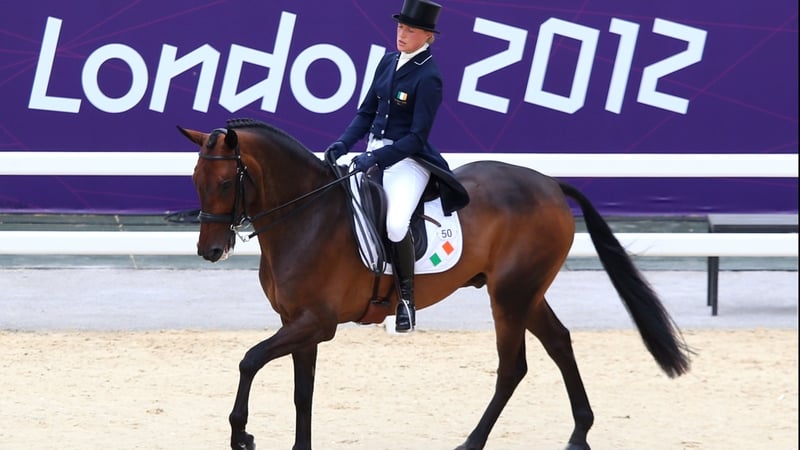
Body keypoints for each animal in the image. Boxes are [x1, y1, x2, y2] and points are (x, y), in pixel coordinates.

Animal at [178, 118, 690, 450]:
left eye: (225, 183)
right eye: (196, 178)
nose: (211, 251)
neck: (307, 216)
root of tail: (547, 181)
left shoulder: (316, 323)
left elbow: (249, 360)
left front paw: (241, 434)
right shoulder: (299, 322)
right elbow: (302, 392)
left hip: (510, 296)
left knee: (513, 367)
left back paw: (472, 442)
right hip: (525, 293)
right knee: (560, 343)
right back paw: (580, 434)